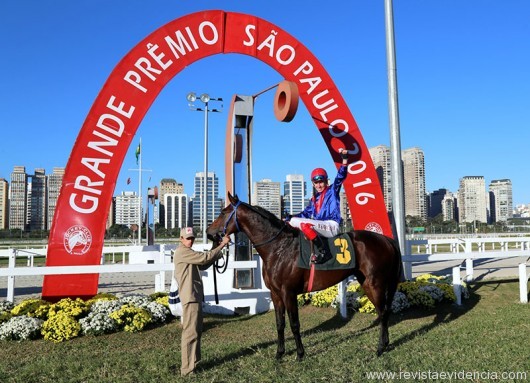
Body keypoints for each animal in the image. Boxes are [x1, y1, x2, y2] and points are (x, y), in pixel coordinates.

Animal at [206, 195, 400, 360]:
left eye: (222, 212)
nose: (209, 232)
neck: (278, 248)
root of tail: (386, 240)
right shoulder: (275, 294)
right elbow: (280, 324)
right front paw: (279, 353)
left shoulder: (289, 292)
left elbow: (294, 324)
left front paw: (300, 354)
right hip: (366, 281)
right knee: (384, 312)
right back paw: (385, 344)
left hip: (374, 283)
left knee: (383, 312)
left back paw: (380, 348)